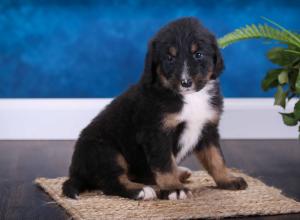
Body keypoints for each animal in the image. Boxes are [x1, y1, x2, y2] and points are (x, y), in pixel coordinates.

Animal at [62, 17, 247, 201]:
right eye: (170, 58)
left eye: (198, 54)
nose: (185, 82)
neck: (190, 98)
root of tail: (75, 172)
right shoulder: (156, 133)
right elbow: (165, 164)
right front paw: (174, 189)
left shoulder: (208, 128)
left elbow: (216, 158)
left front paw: (228, 179)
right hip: (105, 151)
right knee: (112, 182)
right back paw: (142, 191)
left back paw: (180, 173)